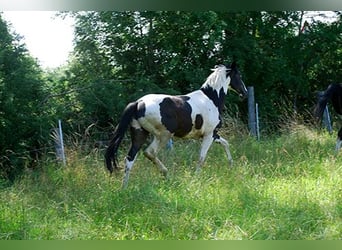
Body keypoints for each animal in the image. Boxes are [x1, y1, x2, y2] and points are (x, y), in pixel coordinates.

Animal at [105, 62, 247, 188]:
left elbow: (225, 144)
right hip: (163, 136)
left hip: (140, 134)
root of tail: (138, 103)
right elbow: (201, 158)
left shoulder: (213, 135)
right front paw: (196, 179)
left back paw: (124, 187)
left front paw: (231, 166)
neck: (212, 99)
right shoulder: (208, 135)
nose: (244, 93)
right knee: (149, 152)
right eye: (239, 76)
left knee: (130, 158)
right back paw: (166, 174)